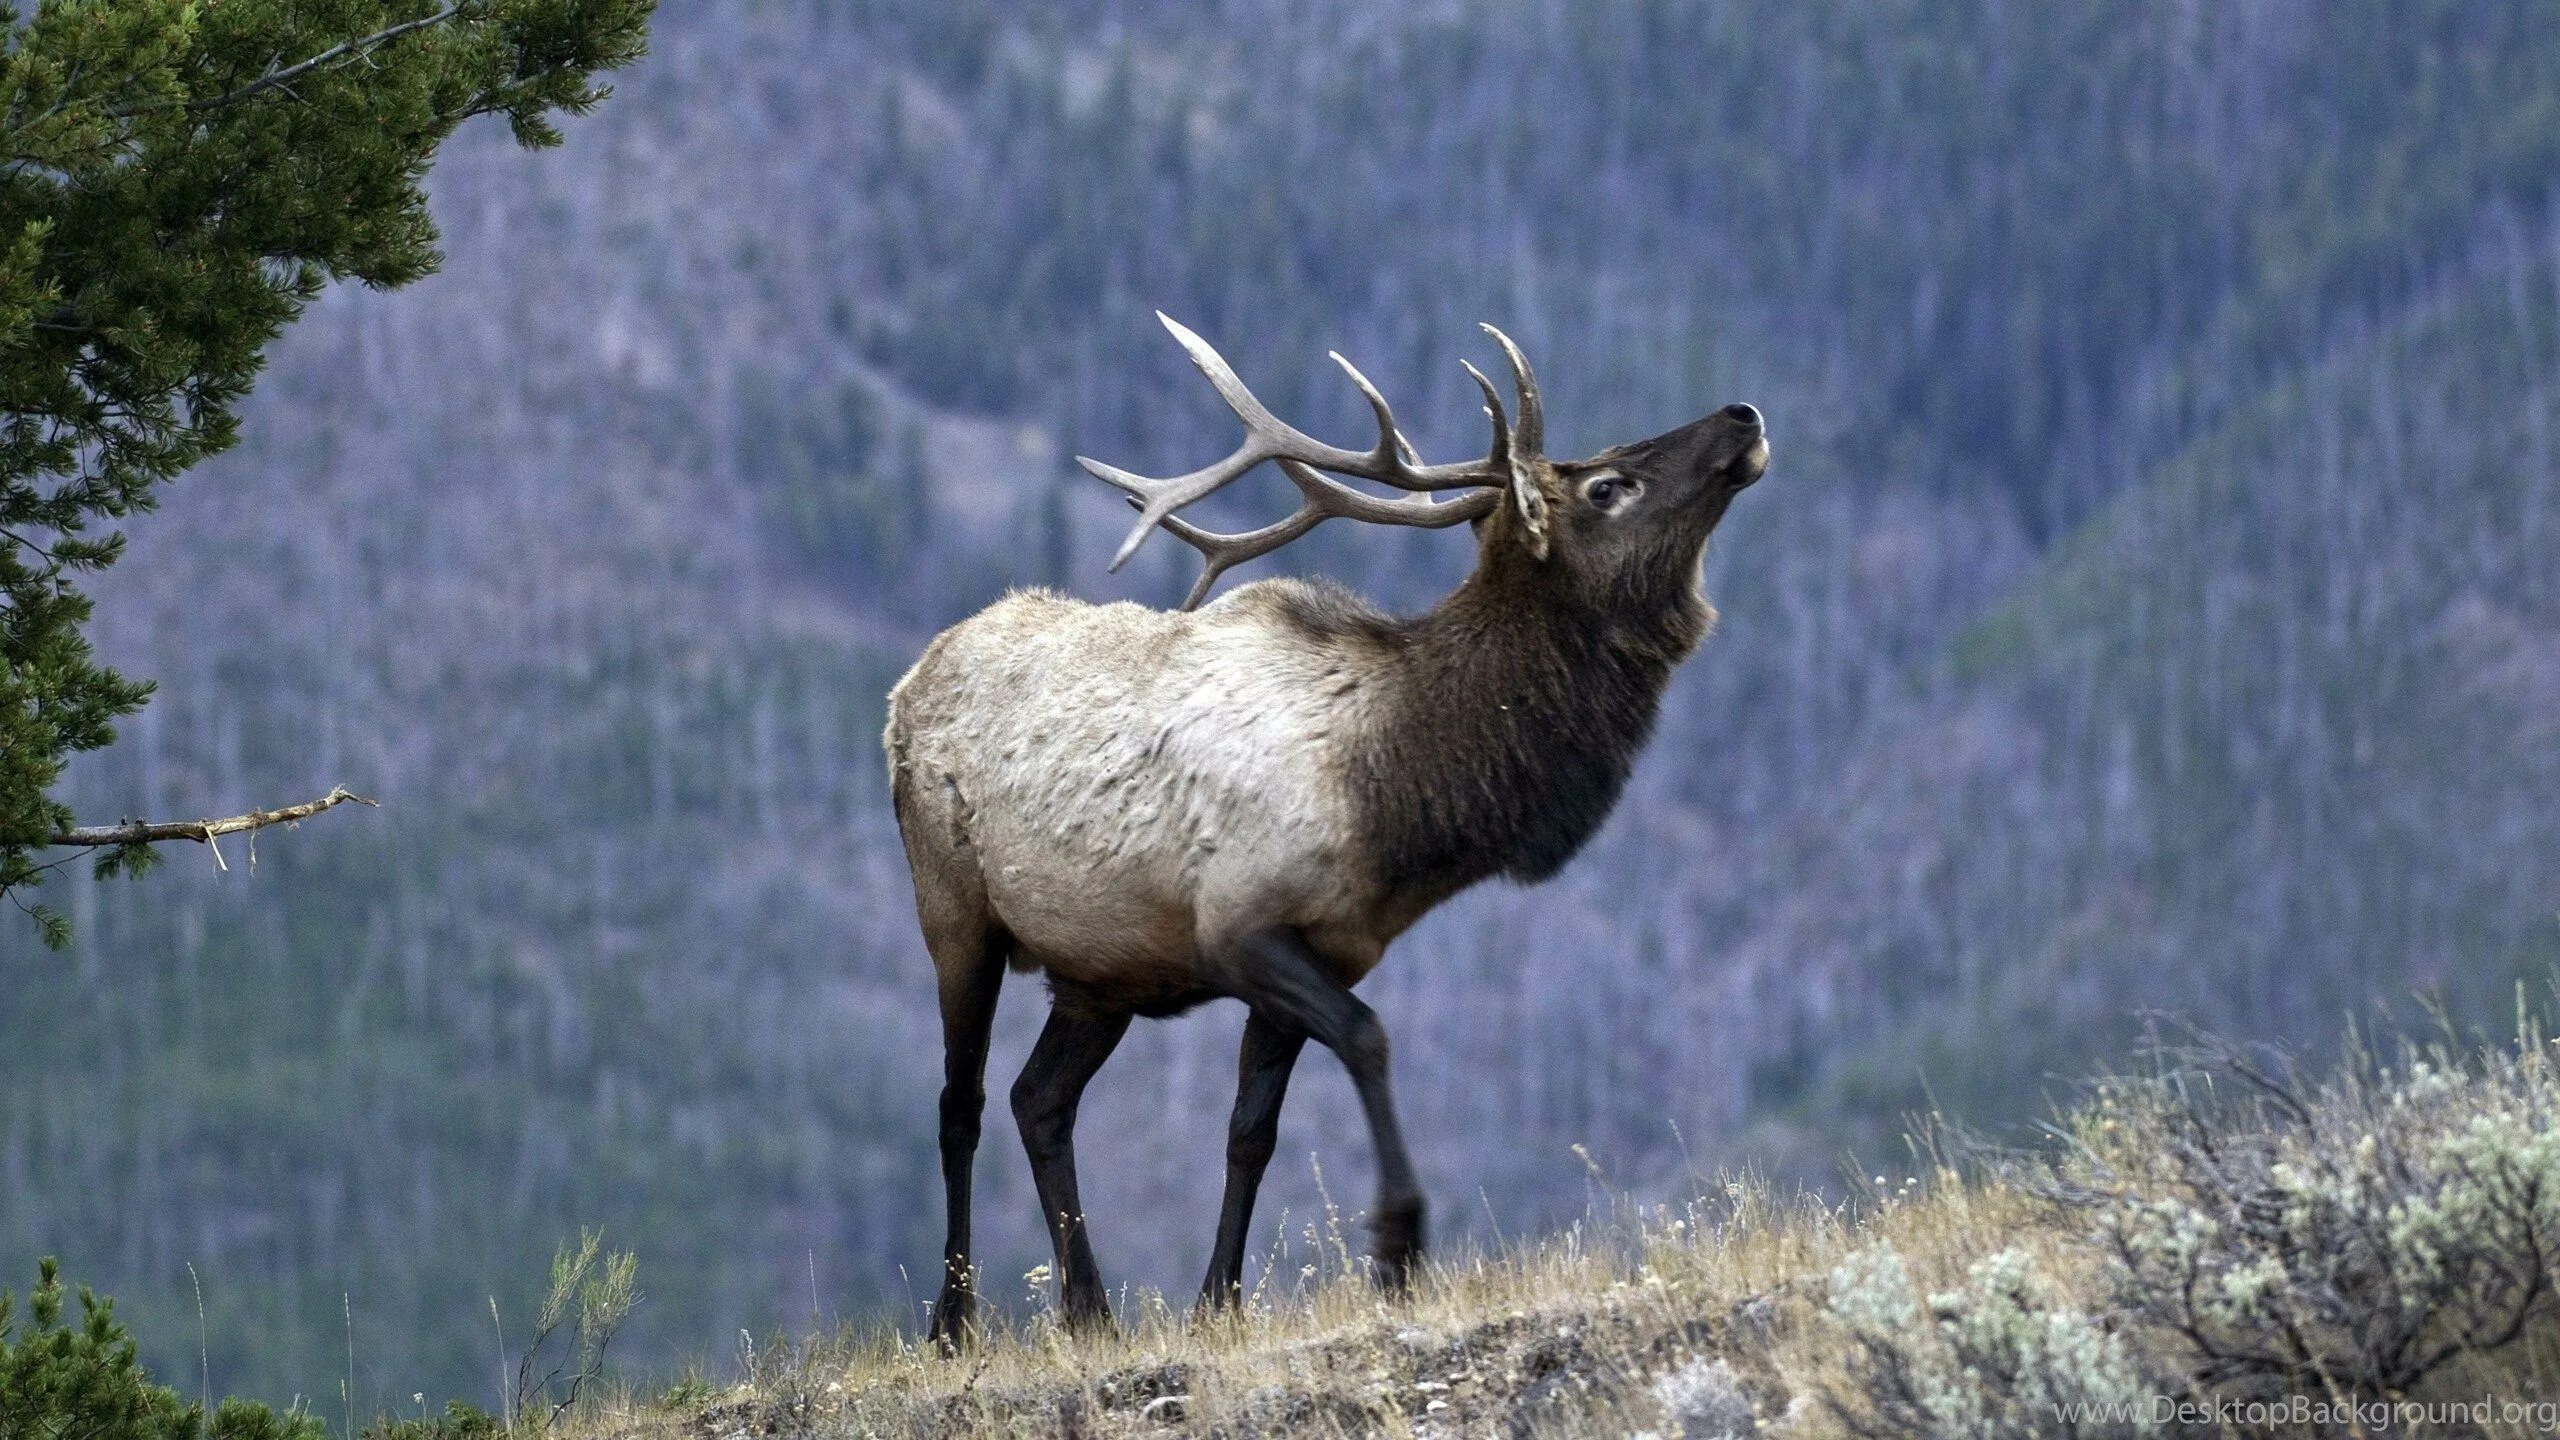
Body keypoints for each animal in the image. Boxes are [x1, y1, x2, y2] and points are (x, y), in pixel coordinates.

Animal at [880, 313, 1761, 1342]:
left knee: (1039, 1101)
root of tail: (910, 685)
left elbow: (1250, 1133)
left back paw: (1090, 1309)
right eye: (1606, 487)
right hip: (956, 912)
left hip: (1099, 971)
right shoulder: (1241, 928)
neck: (1397, 796)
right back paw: (953, 1319)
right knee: (963, 1101)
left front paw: (1217, 1303)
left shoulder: (1322, 952)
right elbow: (1370, 1041)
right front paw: (1399, 1244)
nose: (1742, 415)